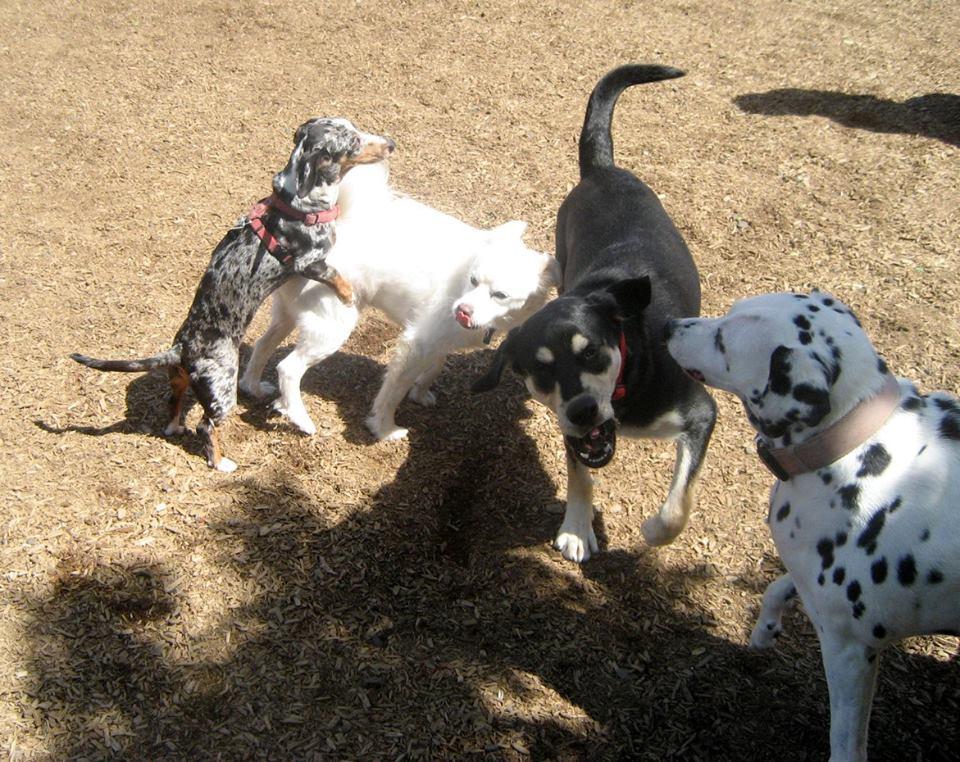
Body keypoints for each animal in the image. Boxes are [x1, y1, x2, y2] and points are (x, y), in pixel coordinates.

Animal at [71, 117, 395, 472]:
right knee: (206, 425)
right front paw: (348, 295)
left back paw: (174, 427)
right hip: (223, 391)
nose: (391, 144)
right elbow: (336, 275)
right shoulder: (310, 262)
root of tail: (181, 349)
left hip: (180, 381)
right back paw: (220, 462)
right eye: (354, 142)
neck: (297, 203)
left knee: (173, 403)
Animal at [239, 161, 560, 440]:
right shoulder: (415, 344)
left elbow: (435, 367)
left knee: (263, 345)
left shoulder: (437, 339)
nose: (462, 311)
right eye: (473, 280)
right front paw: (384, 428)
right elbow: (393, 391)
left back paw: (253, 387)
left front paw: (420, 393)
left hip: (288, 315)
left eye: (500, 295)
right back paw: (300, 418)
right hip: (331, 328)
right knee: (288, 369)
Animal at [472, 64, 717, 563]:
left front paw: (651, 531)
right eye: (541, 371)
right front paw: (576, 528)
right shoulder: (572, 432)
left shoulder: (702, 413)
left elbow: (676, 509)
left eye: (593, 353)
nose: (583, 410)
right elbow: (580, 476)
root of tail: (602, 169)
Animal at [665, 289, 960, 761]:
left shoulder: (849, 650)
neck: (852, 444)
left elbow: (846, 744)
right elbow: (777, 586)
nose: (667, 327)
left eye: (724, 340)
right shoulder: (809, 574)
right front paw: (765, 629)